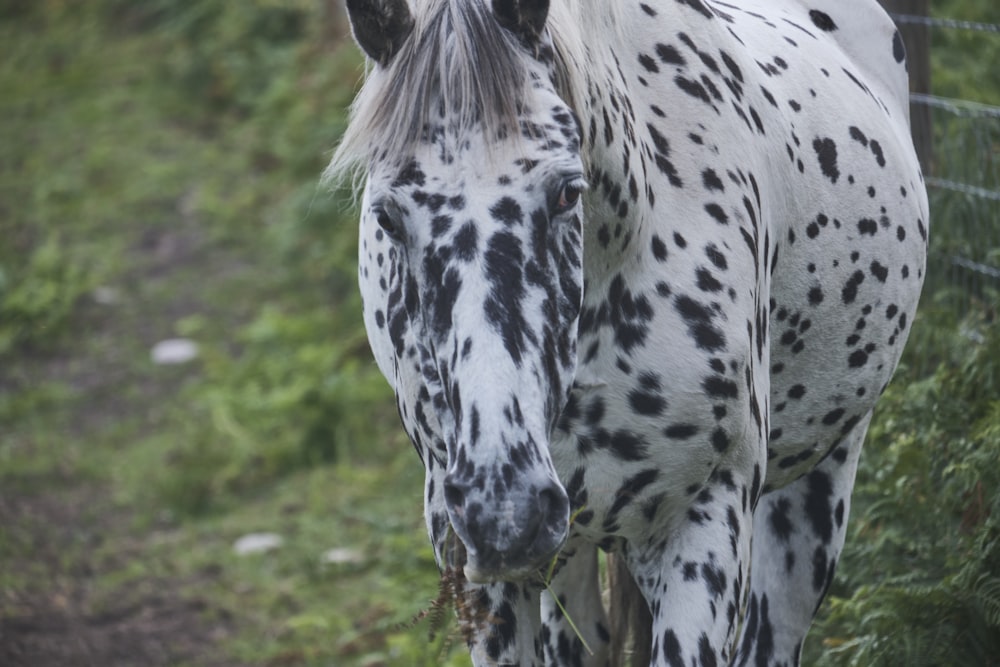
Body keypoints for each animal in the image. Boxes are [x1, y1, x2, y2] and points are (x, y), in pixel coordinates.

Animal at [328, 0, 928, 664]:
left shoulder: (705, 524)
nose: (504, 511)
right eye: (386, 216)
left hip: (815, 494)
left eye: (568, 191)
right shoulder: (481, 568)